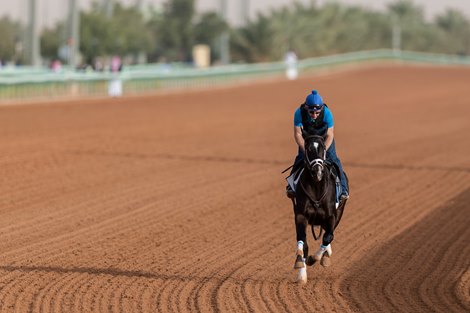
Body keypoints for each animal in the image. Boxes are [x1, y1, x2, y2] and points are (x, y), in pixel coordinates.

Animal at [290, 132, 348, 282]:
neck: (316, 187)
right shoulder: (301, 215)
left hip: (339, 212)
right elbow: (302, 241)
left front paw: (315, 258)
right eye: (308, 149)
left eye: (322, 148)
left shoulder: (331, 216)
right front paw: (301, 272)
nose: (318, 171)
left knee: (329, 235)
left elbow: (328, 237)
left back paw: (326, 255)